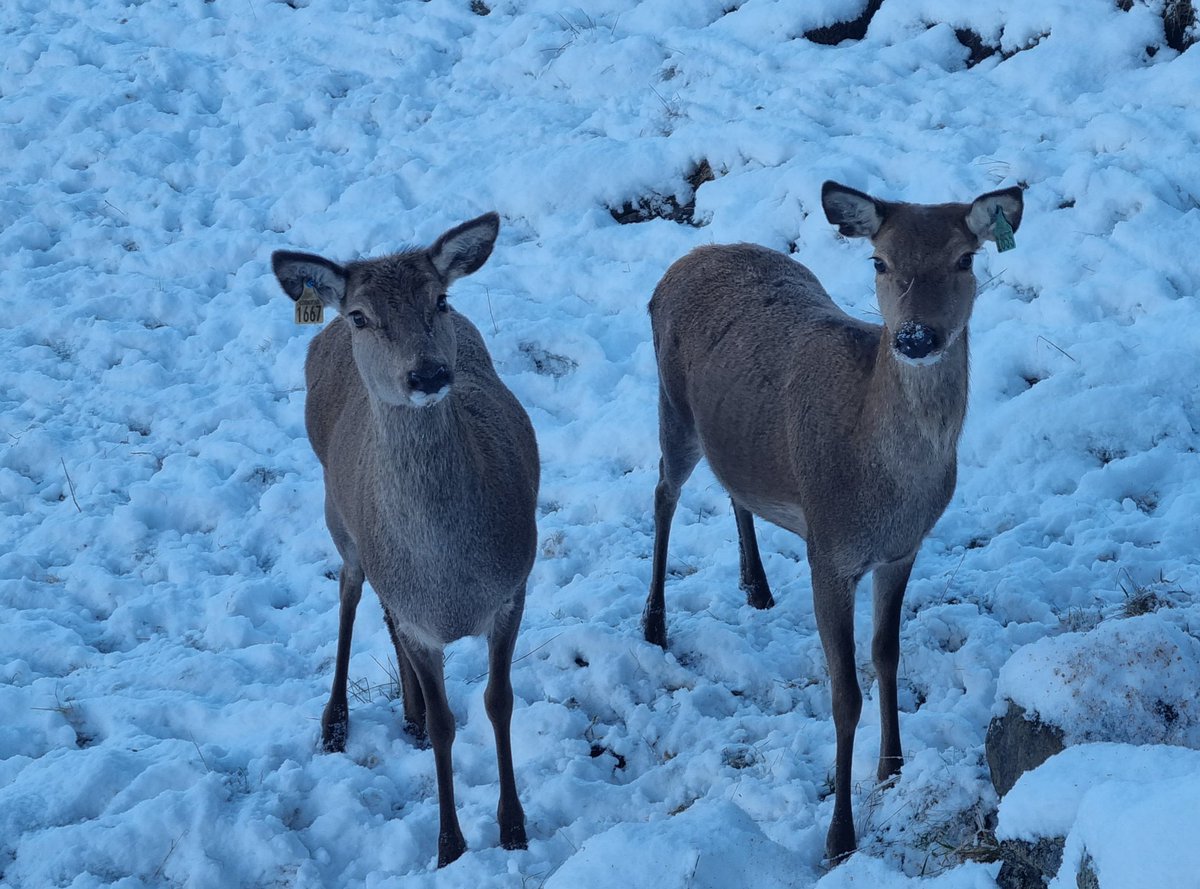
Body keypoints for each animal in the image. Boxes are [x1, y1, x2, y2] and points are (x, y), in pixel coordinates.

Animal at [272, 211, 540, 863]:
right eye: (361, 316)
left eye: (439, 298)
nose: (429, 373)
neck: (450, 583)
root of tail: (319, 331)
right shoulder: (422, 619)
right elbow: (448, 724)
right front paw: (450, 846)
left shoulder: (513, 587)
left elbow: (498, 702)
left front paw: (513, 829)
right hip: (338, 518)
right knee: (349, 594)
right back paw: (336, 722)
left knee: (381, 608)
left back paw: (409, 714)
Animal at [643, 178, 1027, 859]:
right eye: (879, 261)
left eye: (965, 258)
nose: (915, 338)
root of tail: (683, 263)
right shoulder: (828, 551)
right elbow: (844, 694)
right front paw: (840, 834)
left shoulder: (902, 550)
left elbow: (888, 655)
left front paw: (892, 767)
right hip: (672, 404)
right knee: (663, 491)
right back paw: (655, 624)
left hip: (731, 433)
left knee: (732, 486)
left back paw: (757, 585)